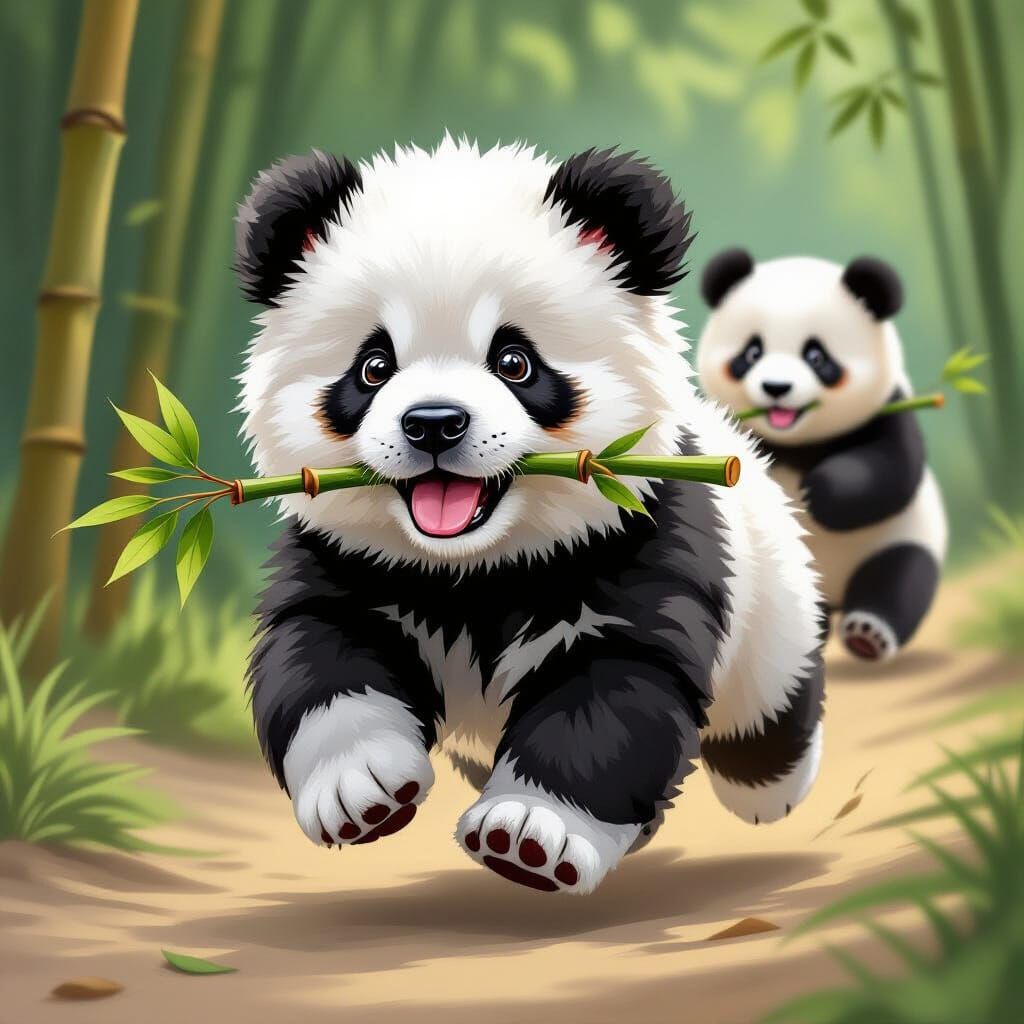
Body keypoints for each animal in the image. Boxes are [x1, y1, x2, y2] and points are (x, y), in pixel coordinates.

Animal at [236, 138, 825, 895]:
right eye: (373, 367)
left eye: (514, 360)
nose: (433, 424)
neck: (474, 568)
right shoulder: (348, 557)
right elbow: (317, 654)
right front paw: (361, 787)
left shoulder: (636, 544)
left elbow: (611, 701)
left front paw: (529, 836)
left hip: (768, 605)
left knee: (768, 703)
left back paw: (768, 787)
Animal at [696, 249, 947, 663]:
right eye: (752, 351)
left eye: (815, 355)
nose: (776, 387)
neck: (795, 442)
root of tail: (836, 595)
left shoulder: (888, 411)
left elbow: (892, 471)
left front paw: (820, 493)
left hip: (900, 538)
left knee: (900, 578)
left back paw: (867, 633)